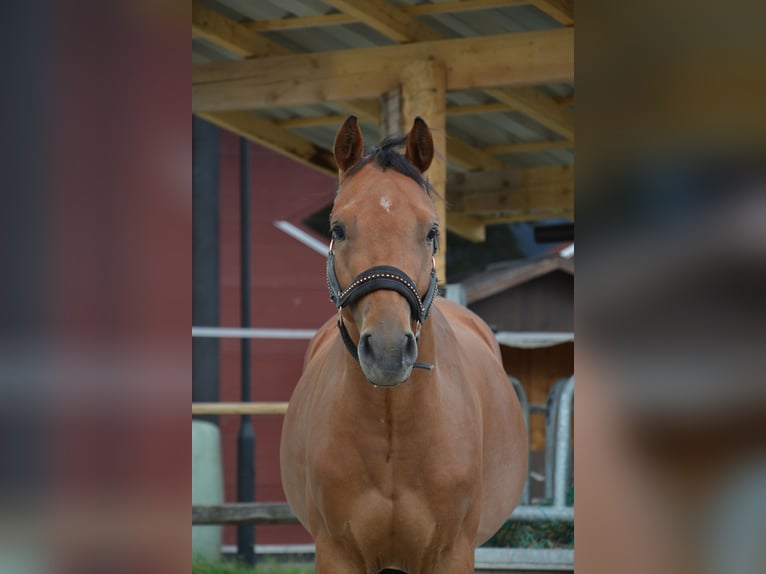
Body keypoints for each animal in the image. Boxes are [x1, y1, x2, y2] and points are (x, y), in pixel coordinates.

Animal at [282, 117, 528, 574]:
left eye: (431, 230)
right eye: (338, 229)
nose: (388, 351)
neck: (393, 425)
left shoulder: (452, 552)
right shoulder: (336, 552)